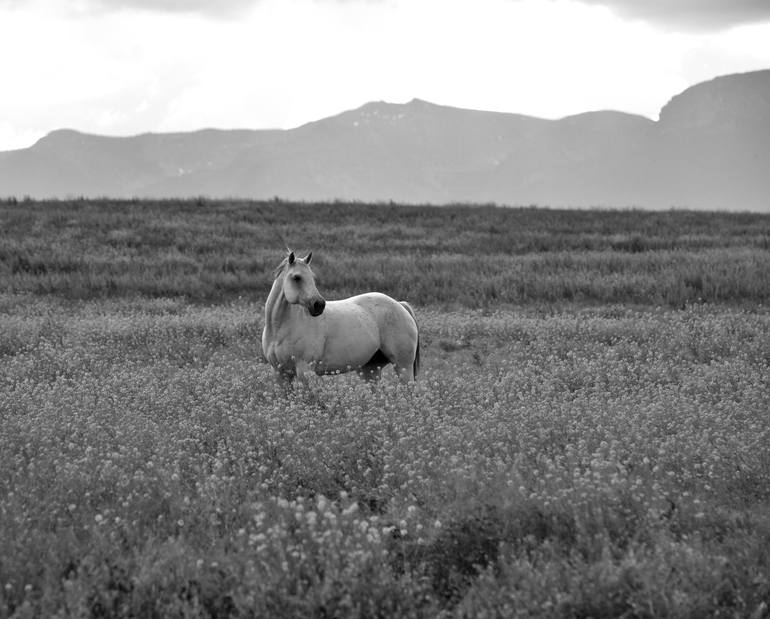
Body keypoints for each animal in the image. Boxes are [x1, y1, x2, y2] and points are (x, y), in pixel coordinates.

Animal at [262, 249, 420, 386]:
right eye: (297, 277)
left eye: (313, 278)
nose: (319, 305)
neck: (279, 327)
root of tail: (400, 305)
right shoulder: (280, 373)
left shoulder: (305, 371)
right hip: (370, 370)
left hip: (403, 367)